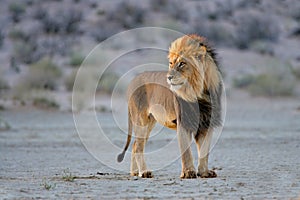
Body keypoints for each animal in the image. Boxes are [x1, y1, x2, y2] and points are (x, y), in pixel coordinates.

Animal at [117, 34, 223, 178]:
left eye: (182, 63)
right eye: (171, 63)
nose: (169, 77)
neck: (199, 92)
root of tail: (133, 80)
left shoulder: (206, 123)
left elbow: (204, 151)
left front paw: (204, 172)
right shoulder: (183, 122)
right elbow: (186, 151)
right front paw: (188, 173)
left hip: (150, 122)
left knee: (135, 145)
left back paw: (134, 172)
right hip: (141, 120)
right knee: (138, 146)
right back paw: (144, 172)